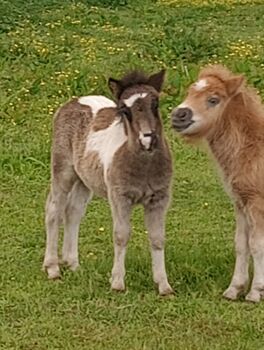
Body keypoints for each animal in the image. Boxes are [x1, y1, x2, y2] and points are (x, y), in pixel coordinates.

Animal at [43, 69, 173, 294]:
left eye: (155, 103)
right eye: (125, 110)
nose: (147, 138)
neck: (144, 166)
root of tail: (73, 102)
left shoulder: (159, 198)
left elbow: (157, 238)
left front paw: (164, 286)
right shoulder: (119, 197)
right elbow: (121, 235)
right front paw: (117, 283)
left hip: (84, 180)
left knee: (73, 212)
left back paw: (73, 264)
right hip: (63, 171)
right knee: (53, 210)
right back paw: (52, 268)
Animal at [172, 64, 264, 302]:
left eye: (213, 99)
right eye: (189, 92)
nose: (178, 115)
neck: (252, 149)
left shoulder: (257, 203)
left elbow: (257, 244)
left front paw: (255, 292)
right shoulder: (241, 203)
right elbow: (241, 244)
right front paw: (234, 289)